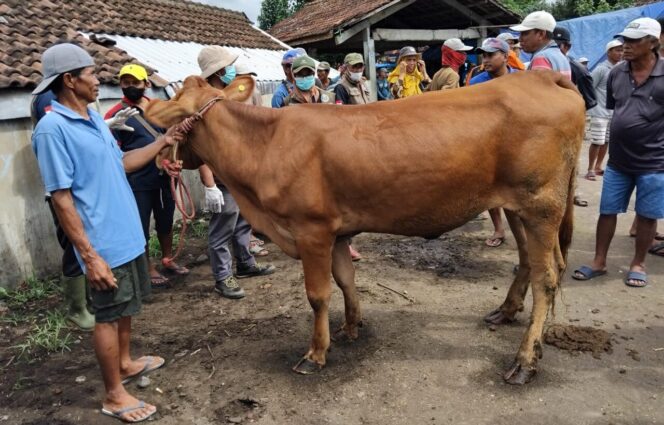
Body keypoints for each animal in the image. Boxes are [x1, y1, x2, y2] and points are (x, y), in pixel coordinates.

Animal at [144, 70, 580, 384]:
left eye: (176, 115)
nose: (161, 157)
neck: (265, 145)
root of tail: (543, 77)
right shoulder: (335, 232)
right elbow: (345, 280)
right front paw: (351, 327)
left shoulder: (311, 229)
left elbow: (318, 294)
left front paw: (315, 353)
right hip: (517, 208)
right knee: (529, 262)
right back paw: (505, 313)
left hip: (541, 206)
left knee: (547, 278)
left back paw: (525, 360)